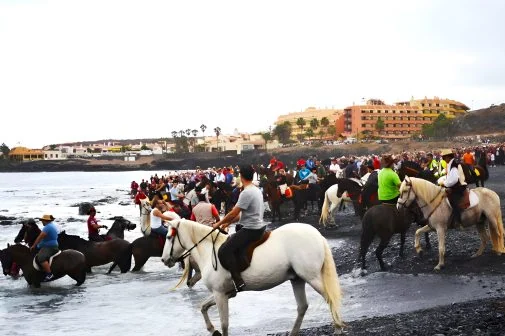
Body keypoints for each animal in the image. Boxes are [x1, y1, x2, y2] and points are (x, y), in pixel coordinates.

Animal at [161, 219, 342, 334]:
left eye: (169, 237)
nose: (164, 259)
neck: (208, 250)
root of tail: (317, 235)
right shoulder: (226, 293)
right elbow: (203, 307)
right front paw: (212, 330)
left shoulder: (220, 294)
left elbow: (224, 323)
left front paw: (216, 329)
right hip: (297, 279)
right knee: (302, 306)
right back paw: (294, 332)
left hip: (312, 278)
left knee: (330, 298)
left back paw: (338, 328)